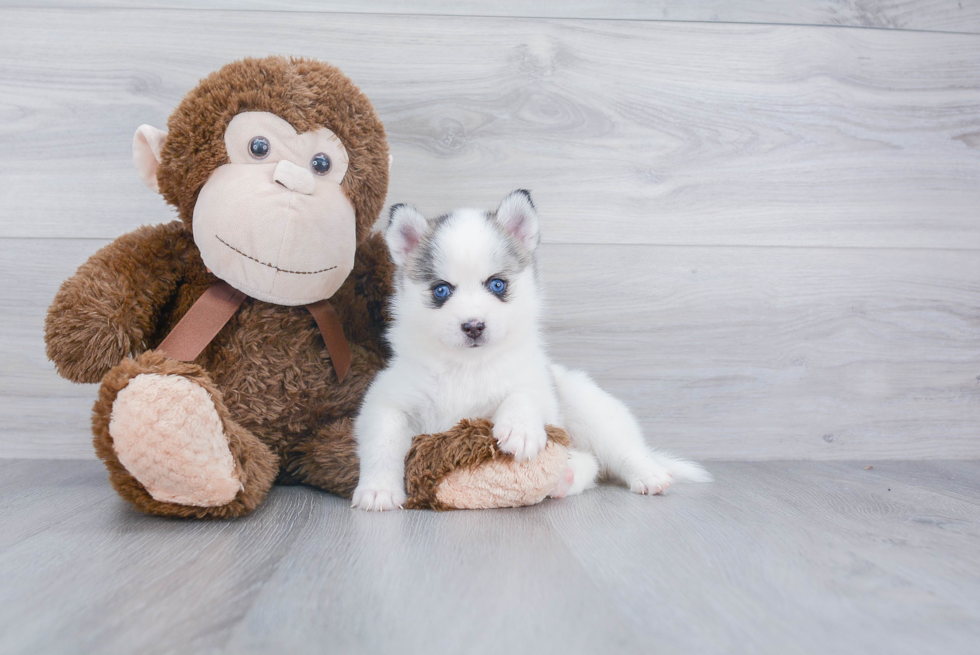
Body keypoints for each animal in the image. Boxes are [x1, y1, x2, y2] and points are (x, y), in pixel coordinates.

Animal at [354, 190, 712, 512]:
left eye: (497, 285)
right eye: (441, 290)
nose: (473, 326)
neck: (467, 366)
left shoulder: (535, 385)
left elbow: (523, 395)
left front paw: (520, 428)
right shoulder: (386, 401)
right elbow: (383, 442)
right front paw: (378, 490)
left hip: (592, 411)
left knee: (620, 452)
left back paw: (647, 475)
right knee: (590, 463)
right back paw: (565, 478)